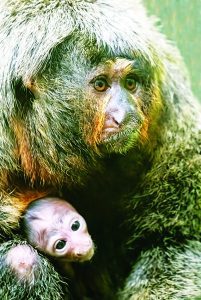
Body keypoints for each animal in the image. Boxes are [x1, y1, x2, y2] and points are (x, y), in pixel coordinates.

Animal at [0, 0, 201, 298]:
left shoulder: (167, 103)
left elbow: (174, 239)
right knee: (21, 262)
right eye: (101, 84)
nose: (126, 114)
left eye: (131, 83)